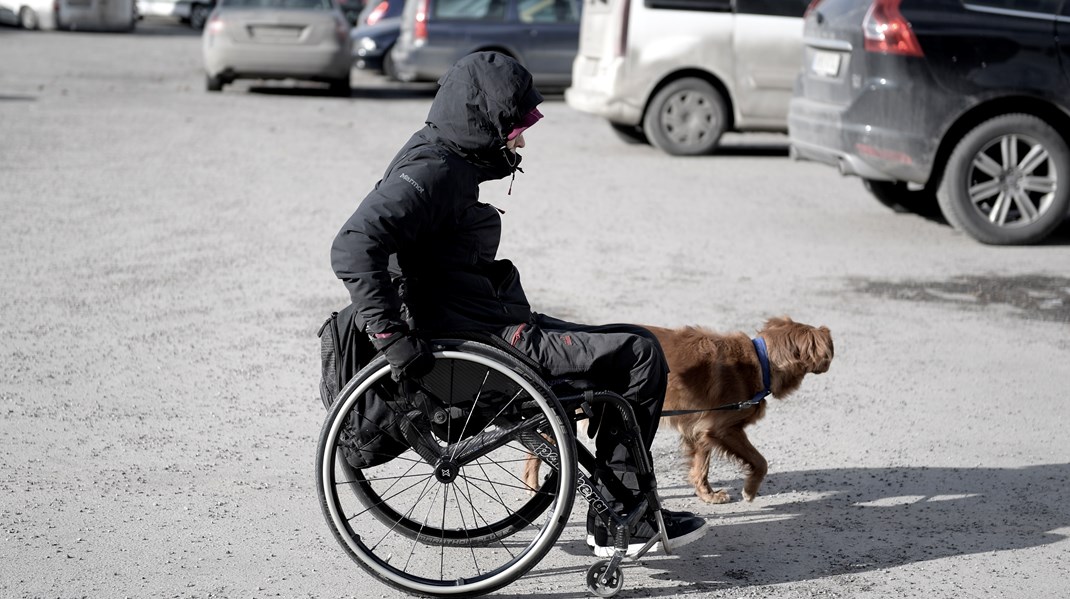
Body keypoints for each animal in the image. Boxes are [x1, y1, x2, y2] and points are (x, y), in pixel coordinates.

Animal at [522, 318, 830, 504]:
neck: (761, 361)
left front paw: (706, 494)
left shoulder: (702, 429)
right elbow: (760, 460)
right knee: (536, 452)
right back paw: (534, 486)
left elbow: (701, 466)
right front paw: (749, 490)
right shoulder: (722, 427)